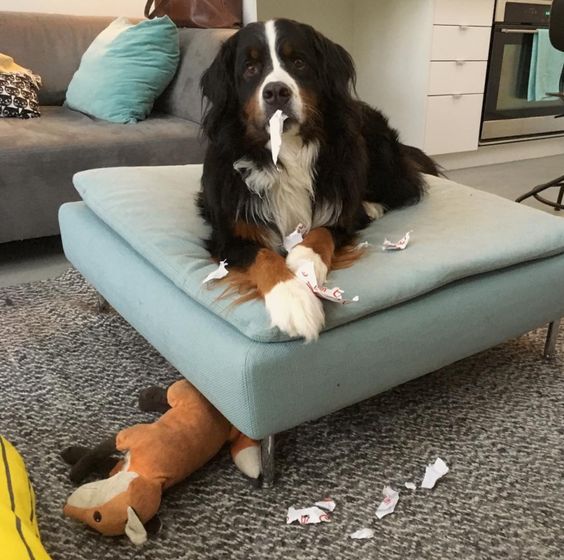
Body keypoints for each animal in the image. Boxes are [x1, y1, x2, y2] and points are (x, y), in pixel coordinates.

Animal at [198, 18, 440, 342]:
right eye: (250, 68)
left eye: (299, 62)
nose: (276, 91)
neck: (285, 151)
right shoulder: (227, 234)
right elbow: (262, 256)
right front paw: (294, 300)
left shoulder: (338, 213)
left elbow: (322, 232)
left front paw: (304, 261)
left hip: (379, 156)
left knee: (407, 188)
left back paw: (371, 206)